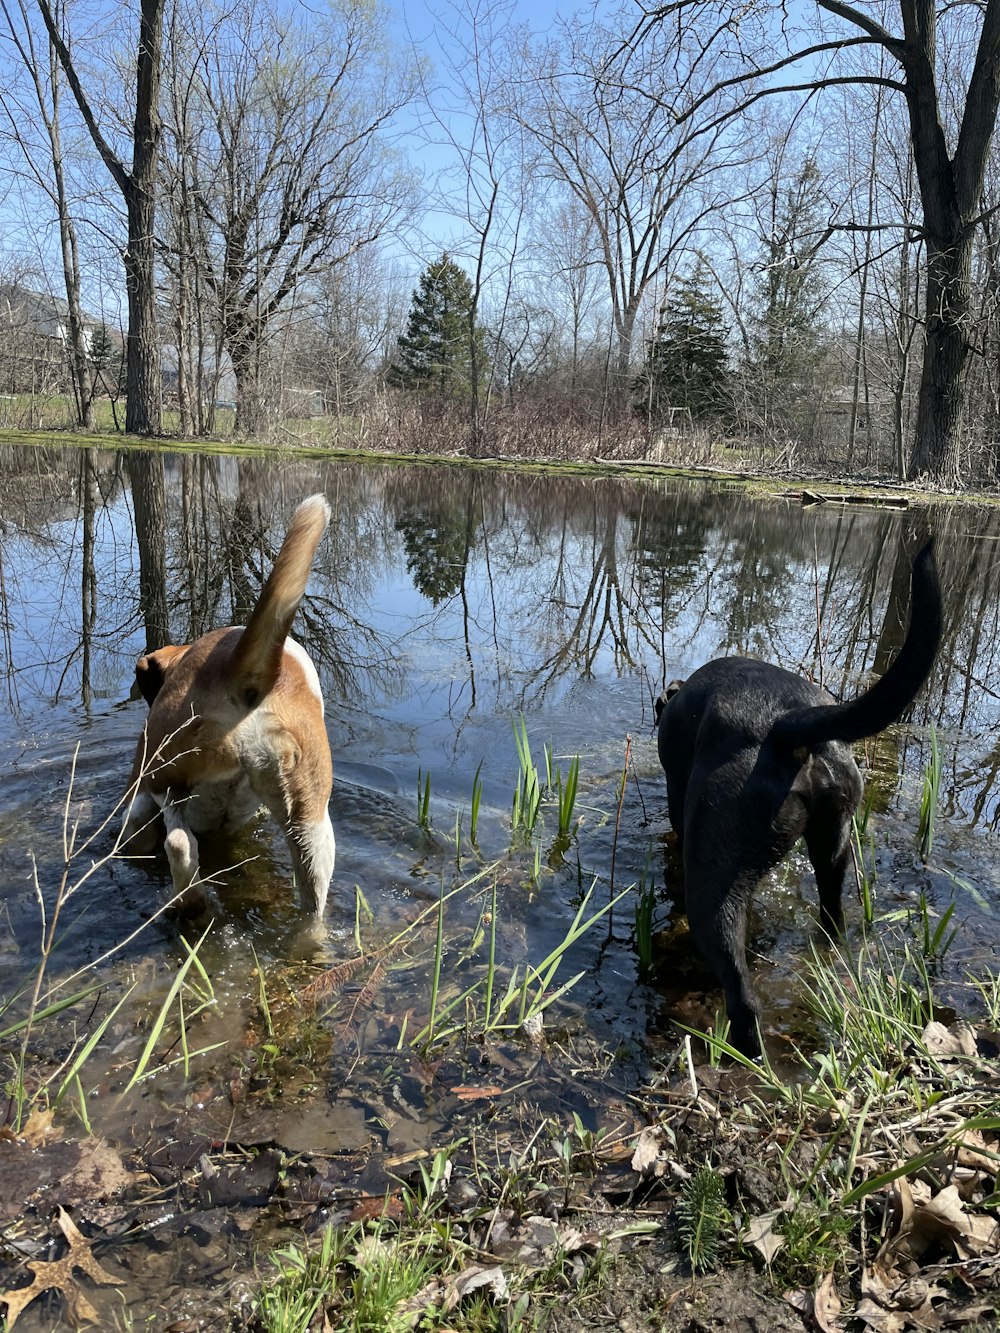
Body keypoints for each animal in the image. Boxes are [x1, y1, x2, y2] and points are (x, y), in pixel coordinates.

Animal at [125, 493, 334, 917]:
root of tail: (240, 674)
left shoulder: (140, 797)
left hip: (164, 776)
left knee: (179, 845)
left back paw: (188, 905)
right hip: (312, 827)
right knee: (312, 900)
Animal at [653, 535, 944, 1055]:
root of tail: (788, 725)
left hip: (715, 879)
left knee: (741, 992)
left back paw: (744, 1054)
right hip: (835, 845)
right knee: (832, 917)